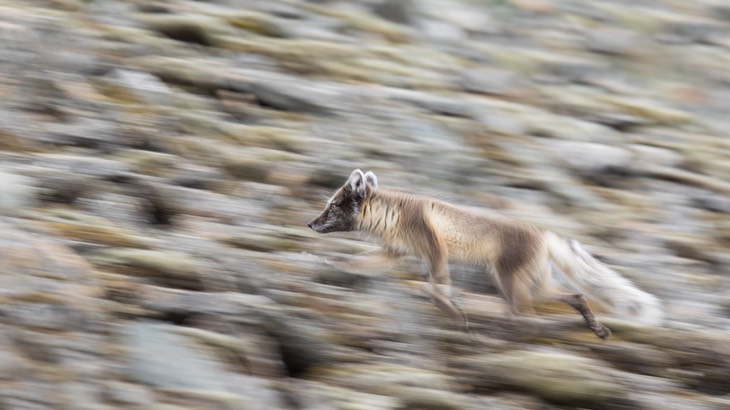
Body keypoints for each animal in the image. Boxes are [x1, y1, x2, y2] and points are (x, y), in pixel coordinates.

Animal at [308, 168, 660, 338]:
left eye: (333, 206)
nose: (310, 223)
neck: (395, 216)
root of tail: (544, 234)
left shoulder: (434, 249)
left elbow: (438, 285)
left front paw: (451, 310)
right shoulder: (394, 253)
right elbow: (358, 264)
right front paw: (328, 262)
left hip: (508, 279)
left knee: (528, 314)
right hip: (534, 284)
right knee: (574, 296)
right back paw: (597, 329)